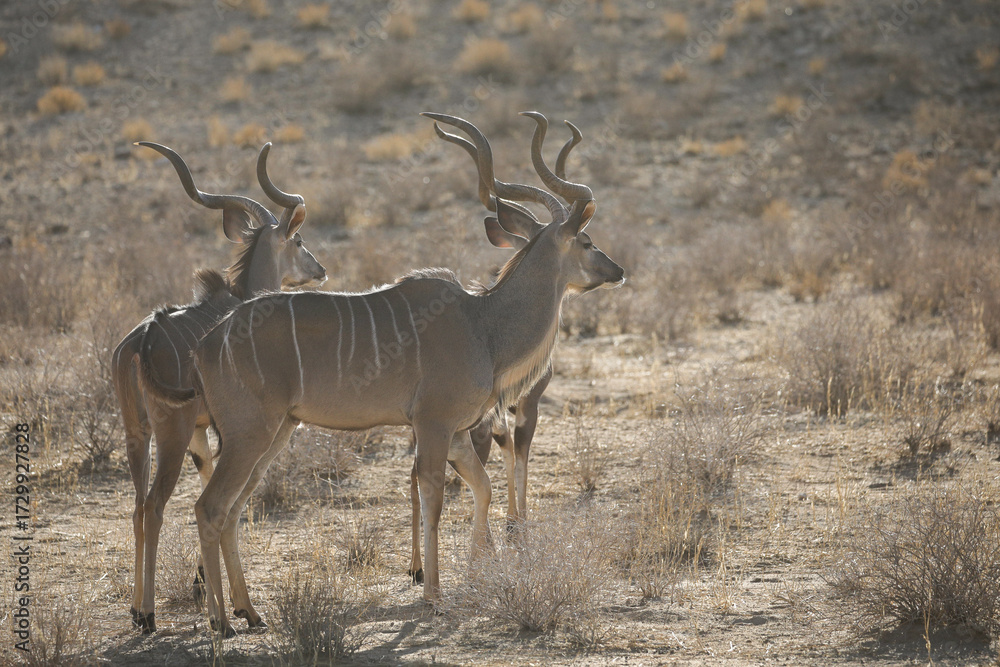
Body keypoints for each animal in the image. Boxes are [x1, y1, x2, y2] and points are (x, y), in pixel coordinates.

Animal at [112, 142, 326, 633]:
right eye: (299, 240)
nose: (320, 270)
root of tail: (142, 339)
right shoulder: (221, 430)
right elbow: (222, 503)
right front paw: (232, 605)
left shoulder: (202, 433)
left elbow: (213, 491)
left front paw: (211, 593)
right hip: (169, 433)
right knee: (154, 505)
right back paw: (149, 614)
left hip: (138, 435)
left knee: (136, 506)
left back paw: (135, 609)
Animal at [139, 111, 624, 638]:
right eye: (586, 240)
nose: (617, 270)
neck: (484, 325)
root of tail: (208, 342)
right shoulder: (434, 425)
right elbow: (433, 496)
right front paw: (433, 592)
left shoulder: (456, 432)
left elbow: (483, 487)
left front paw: (479, 568)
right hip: (249, 433)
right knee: (208, 507)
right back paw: (219, 622)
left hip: (274, 432)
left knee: (230, 508)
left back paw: (250, 612)